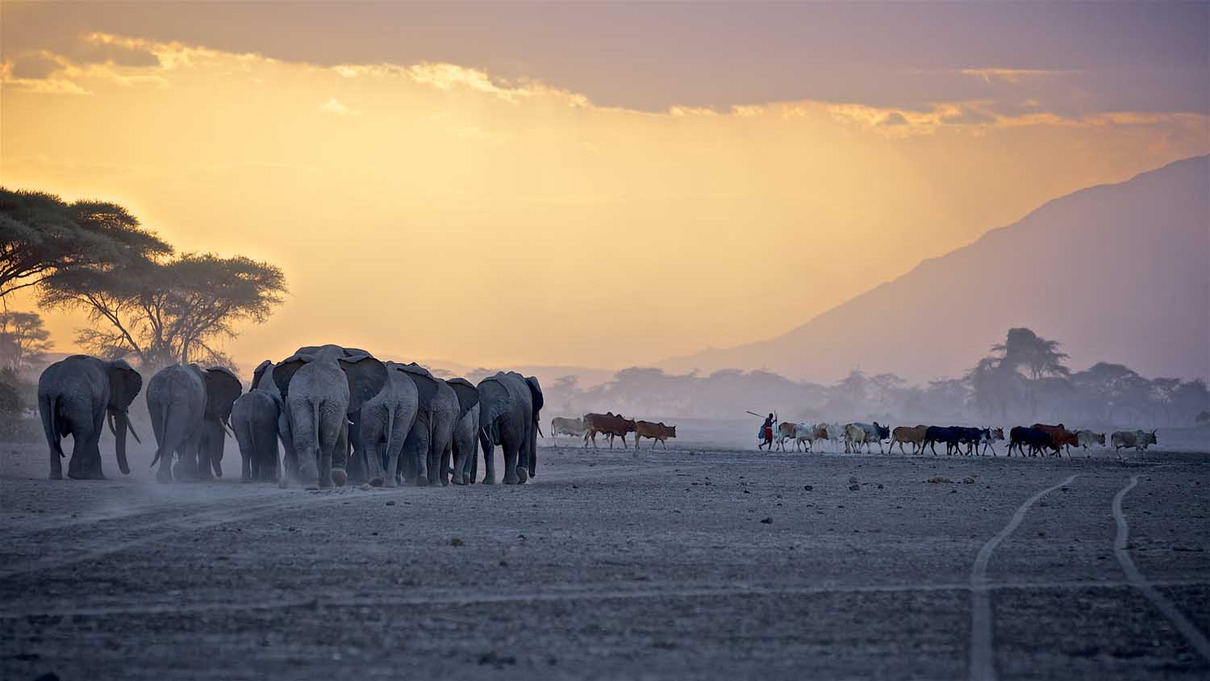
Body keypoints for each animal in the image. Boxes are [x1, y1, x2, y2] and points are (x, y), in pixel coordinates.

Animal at [274, 345, 387, 491]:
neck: (323, 354)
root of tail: (315, 395)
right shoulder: (341, 401)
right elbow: (343, 426)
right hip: (330, 403)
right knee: (329, 440)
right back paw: (330, 483)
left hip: (302, 403)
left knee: (306, 438)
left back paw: (311, 485)